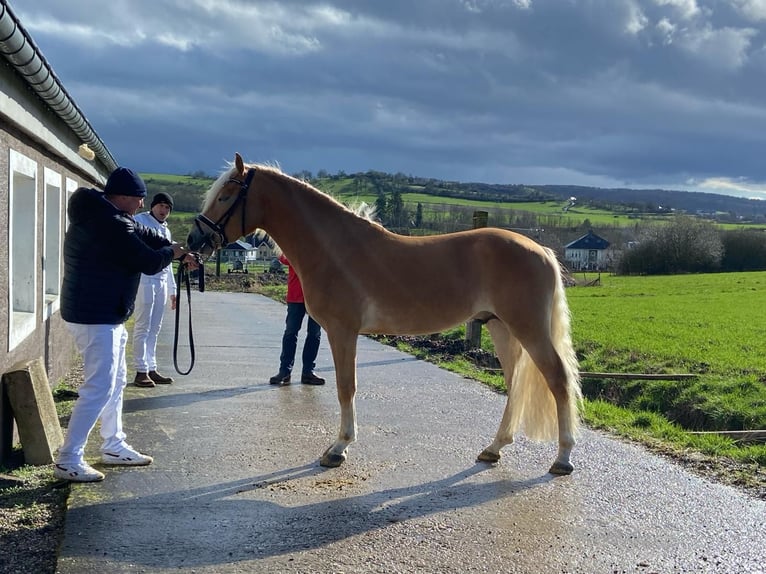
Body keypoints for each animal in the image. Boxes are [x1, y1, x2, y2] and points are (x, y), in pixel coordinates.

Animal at [188, 153, 584, 476]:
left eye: (226, 196)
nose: (194, 242)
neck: (335, 249)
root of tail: (542, 251)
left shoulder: (342, 330)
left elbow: (346, 387)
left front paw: (338, 448)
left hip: (528, 329)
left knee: (558, 379)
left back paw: (563, 458)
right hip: (501, 327)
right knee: (515, 385)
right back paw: (493, 448)